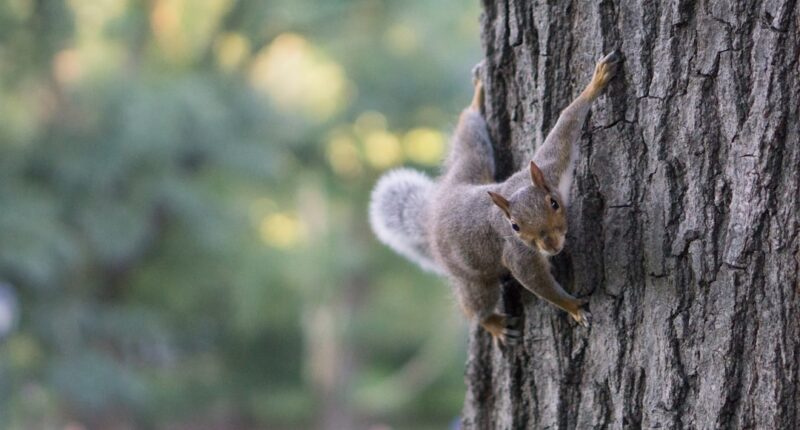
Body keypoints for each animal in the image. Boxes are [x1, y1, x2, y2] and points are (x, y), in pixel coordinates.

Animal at [370, 51, 621, 345]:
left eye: (554, 203)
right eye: (515, 226)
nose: (550, 246)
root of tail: (435, 212)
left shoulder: (551, 166)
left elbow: (567, 121)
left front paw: (597, 81)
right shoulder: (518, 255)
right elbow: (538, 284)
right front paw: (573, 307)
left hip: (470, 163)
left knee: (468, 136)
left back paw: (476, 99)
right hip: (472, 278)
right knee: (475, 306)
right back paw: (493, 324)